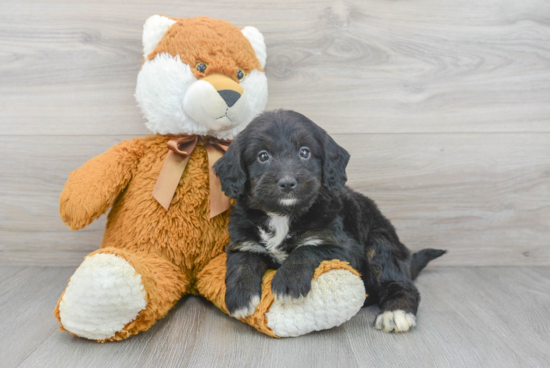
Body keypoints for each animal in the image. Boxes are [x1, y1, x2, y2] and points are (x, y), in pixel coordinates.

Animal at [213, 110, 446, 334]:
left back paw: (396, 312)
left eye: (304, 152)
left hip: (379, 244)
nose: (287, 183)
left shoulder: (345, 247)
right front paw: (240, 296)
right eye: (263, 156)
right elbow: (243, 261)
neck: (283, 214)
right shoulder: (243, 242)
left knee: (401, 283)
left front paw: (289, 280)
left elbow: (307, 249)